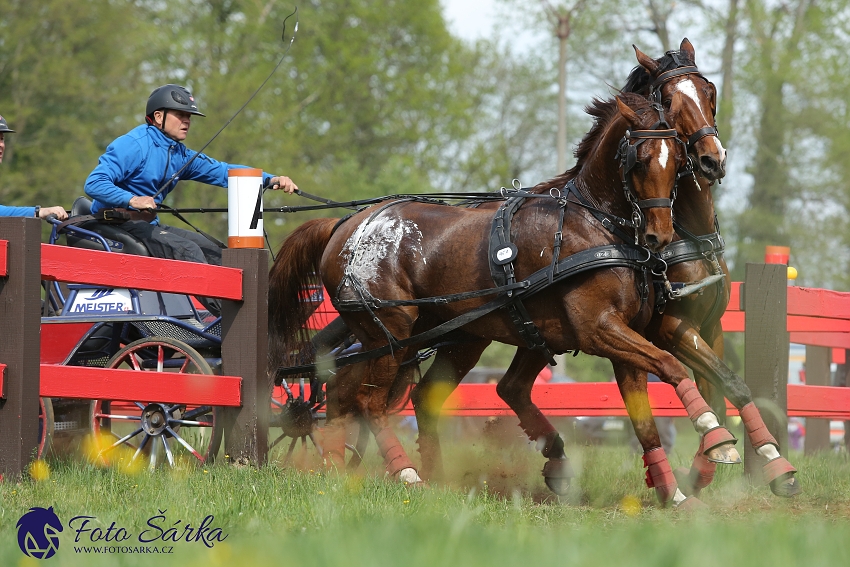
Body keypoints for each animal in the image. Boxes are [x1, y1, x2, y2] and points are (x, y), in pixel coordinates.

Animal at [266, 93, 716, 510]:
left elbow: (645, 420)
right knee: (368, 401)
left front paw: (674, 492)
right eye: (640, 161)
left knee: (358, 394)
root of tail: (344, 224)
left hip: (440, 338)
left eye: (677, 162)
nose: (659, 236)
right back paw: (404, 472)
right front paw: (715, 433)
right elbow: (671, 364)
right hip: (388, 330)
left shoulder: (612, 339)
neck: (592, 225)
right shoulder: (598, 329)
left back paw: (354, 467)